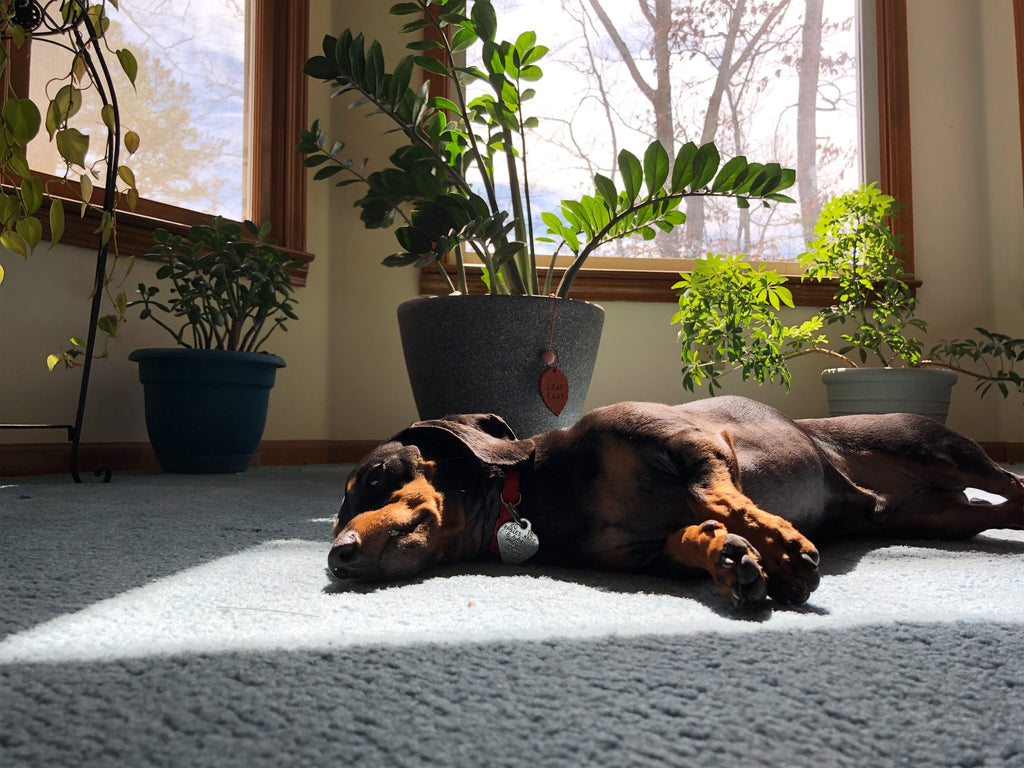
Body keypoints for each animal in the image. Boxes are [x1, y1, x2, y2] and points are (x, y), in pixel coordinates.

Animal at [329, 397, 1024, 606]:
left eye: (376, 476)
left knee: (1013, 485)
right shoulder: (641, 554)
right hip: (946, 517)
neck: (545, 490)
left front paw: (783, 548)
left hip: (939, 448)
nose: (337, 556)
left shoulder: (692, 443)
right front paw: (732, 560)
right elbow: (694, 534)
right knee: (1000, 511)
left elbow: (718, 497)